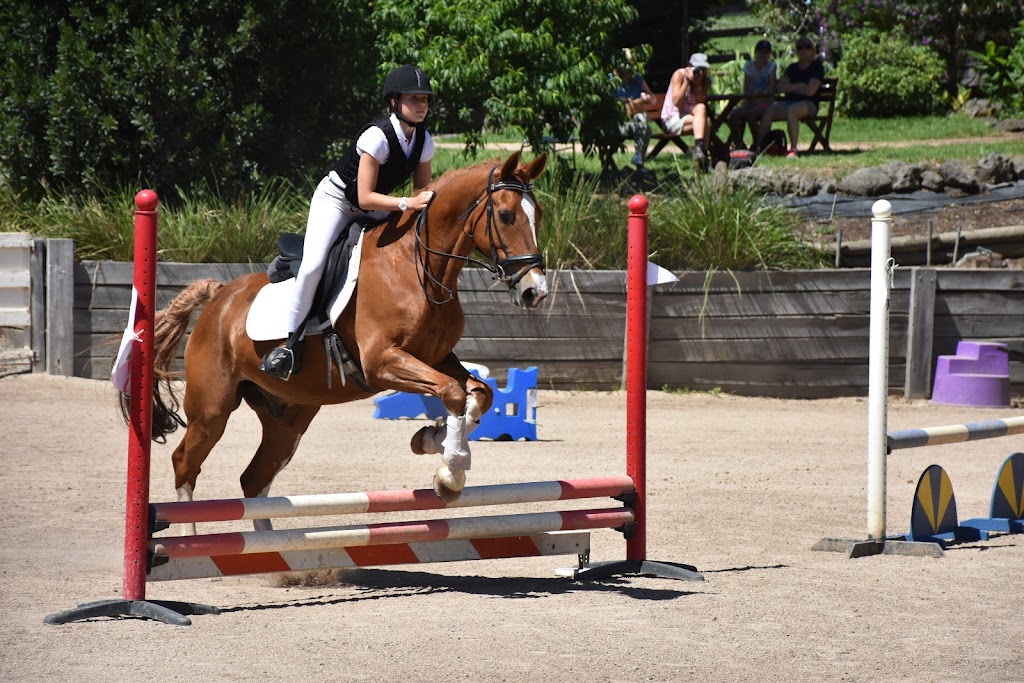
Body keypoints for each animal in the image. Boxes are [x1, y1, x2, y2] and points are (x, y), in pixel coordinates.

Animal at [131, 153, 548, 532]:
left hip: (289, 418)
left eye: (539, 214)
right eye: (506, 216)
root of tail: (219, 296)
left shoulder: (437, 357)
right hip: (211, 409)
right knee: (186, 464)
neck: (418, 269)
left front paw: (434, 440)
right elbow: (453, 392)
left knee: (254, 478)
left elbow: (478, 394)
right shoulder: (383, 363)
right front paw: (450, 470)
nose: (535, 292)